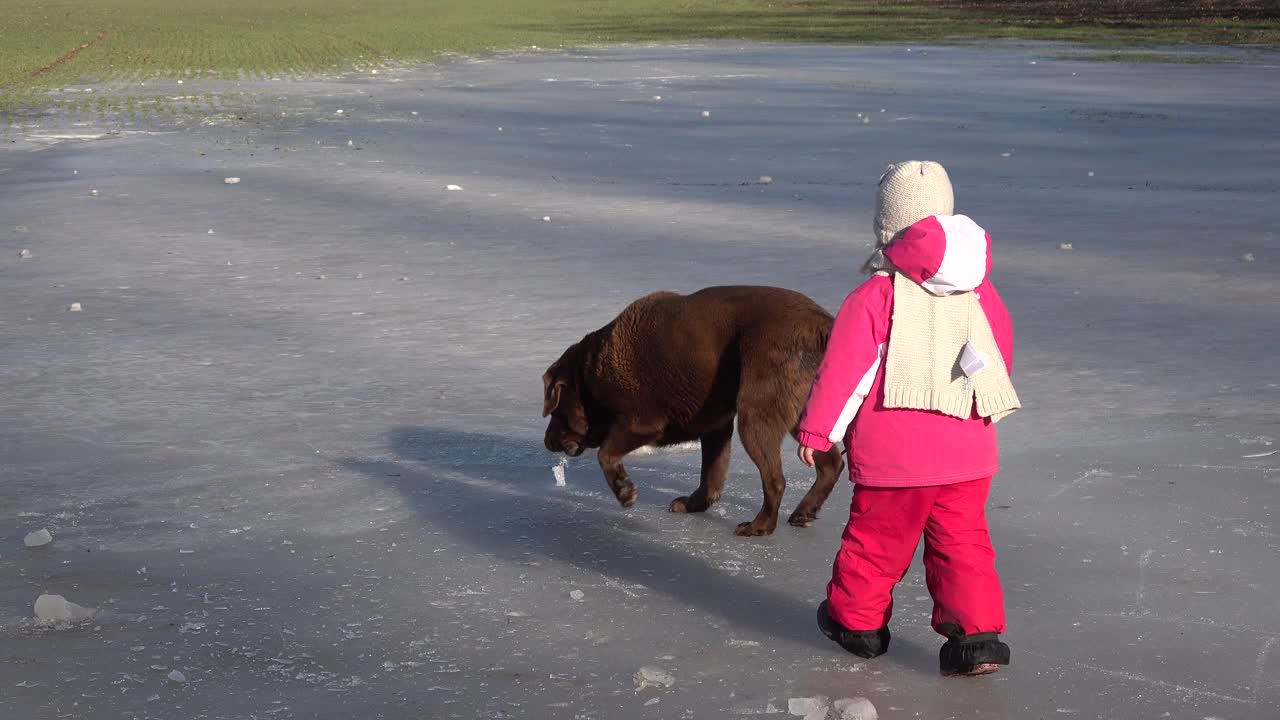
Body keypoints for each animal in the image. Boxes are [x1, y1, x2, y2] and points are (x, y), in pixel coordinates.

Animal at [545, 284, 844, 532]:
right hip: (808, 409)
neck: (590, 376)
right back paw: (804, 512)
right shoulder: (716, 424)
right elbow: (711, 475)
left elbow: (605, 454)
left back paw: (758, 526)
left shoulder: (641, 421)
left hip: (757, 409)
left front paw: (625, 491)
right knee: (831, 462)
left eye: (556, 410)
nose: (547, 442)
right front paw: (692, 504)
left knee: (775, 479)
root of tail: (823, 325)